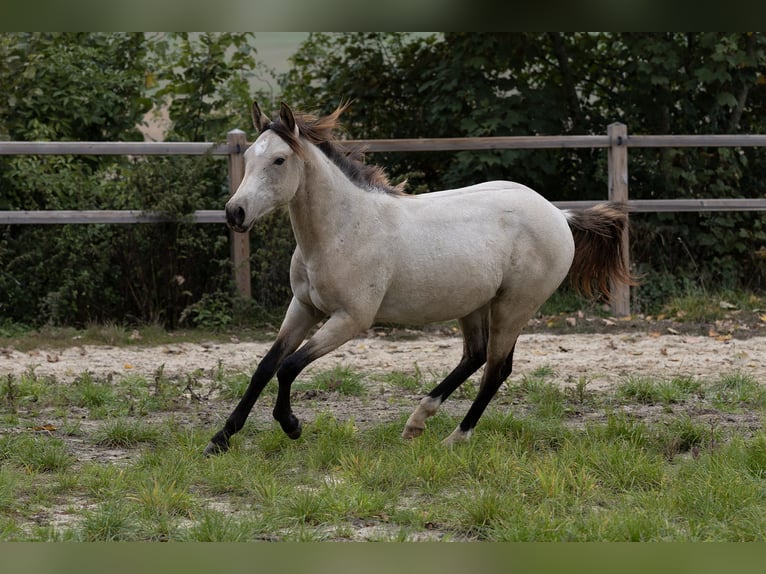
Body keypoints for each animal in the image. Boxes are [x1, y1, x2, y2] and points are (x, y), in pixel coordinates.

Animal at [204, 101, 634, 455]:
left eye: (279, 160)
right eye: (249, 156)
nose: (235, 213)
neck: (342, 229)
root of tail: (559, 214)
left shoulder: (351, 320)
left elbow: (289, 366)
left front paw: (291, 425)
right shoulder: (304, 307)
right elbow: (265, 366)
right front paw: (220, 439)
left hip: (514, 307)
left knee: (496, 369)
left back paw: (454, 438)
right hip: (473, 304)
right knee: (475, 356)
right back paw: (416, 423)